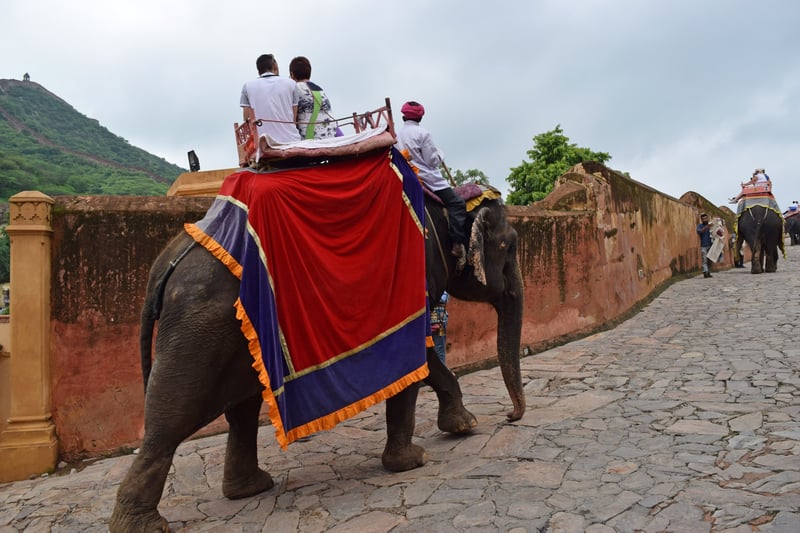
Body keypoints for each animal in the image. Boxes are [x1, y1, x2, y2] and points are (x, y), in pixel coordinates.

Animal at [111, 151, 524, 532]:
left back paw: (249, 489)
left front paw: (462, 427)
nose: (509, 416)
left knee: (239, 408)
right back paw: (144, 525)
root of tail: (164, 266)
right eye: (509, 246)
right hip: (199, 326)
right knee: (173, 416)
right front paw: (416, 459)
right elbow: (413, 358)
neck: (445, 207)